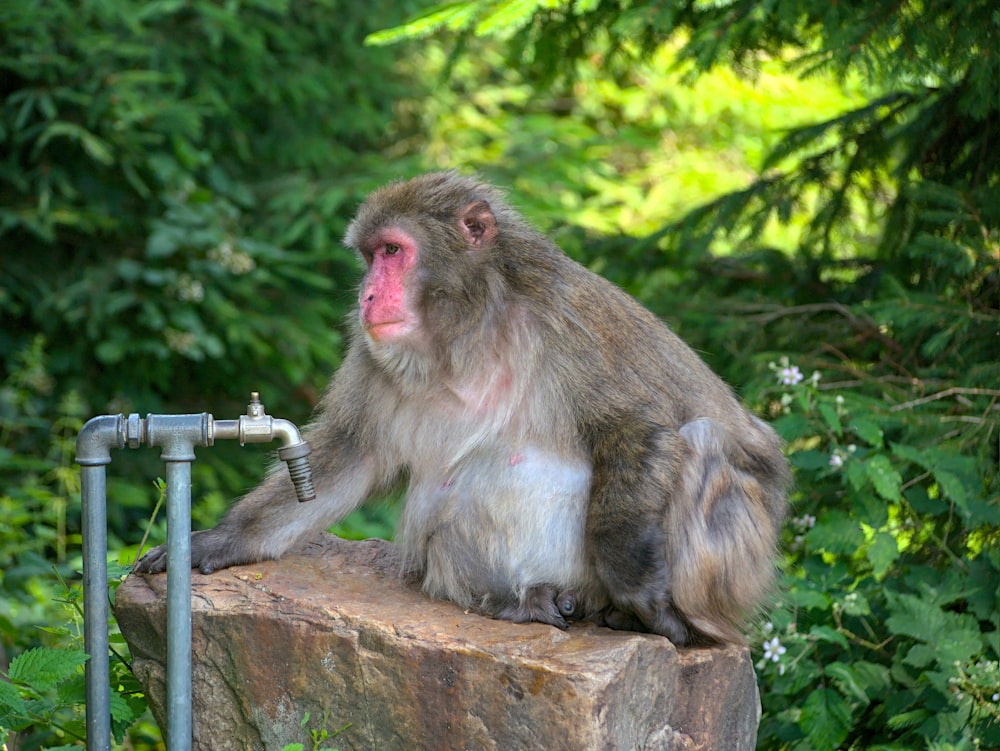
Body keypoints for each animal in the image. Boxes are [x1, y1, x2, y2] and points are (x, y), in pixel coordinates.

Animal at [135, 170, 788, 648]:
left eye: (393, 251)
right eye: (369, 258)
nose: (366, 295)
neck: (470, 326)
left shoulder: (568, 319)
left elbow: (639, 428)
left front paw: (640, 592)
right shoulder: (373, 353)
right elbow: (348, 453)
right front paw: (220, 541)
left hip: (738, 573)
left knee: (703, 441)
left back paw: (652, 619)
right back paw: (521, 602)